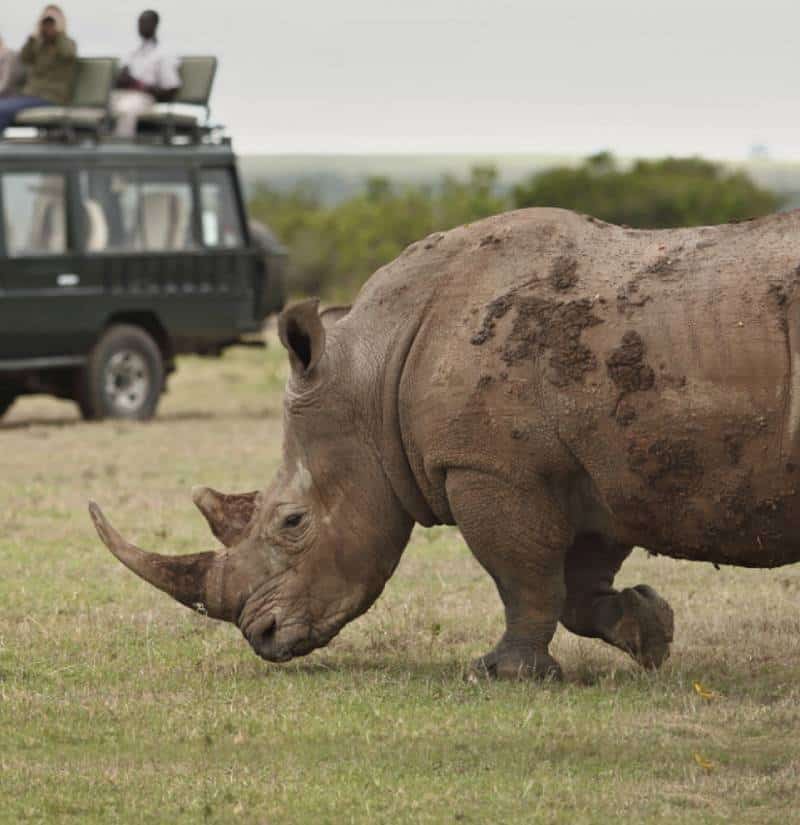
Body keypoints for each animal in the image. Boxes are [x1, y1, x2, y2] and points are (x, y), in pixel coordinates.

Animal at [90, 207, 800, 679]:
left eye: (291, 522)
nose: (260, 636)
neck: (372, 374)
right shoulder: (601, 465)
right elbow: (576, 587)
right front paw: (651, 631)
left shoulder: (492, 466)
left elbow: (522, 575)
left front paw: (502, 674)